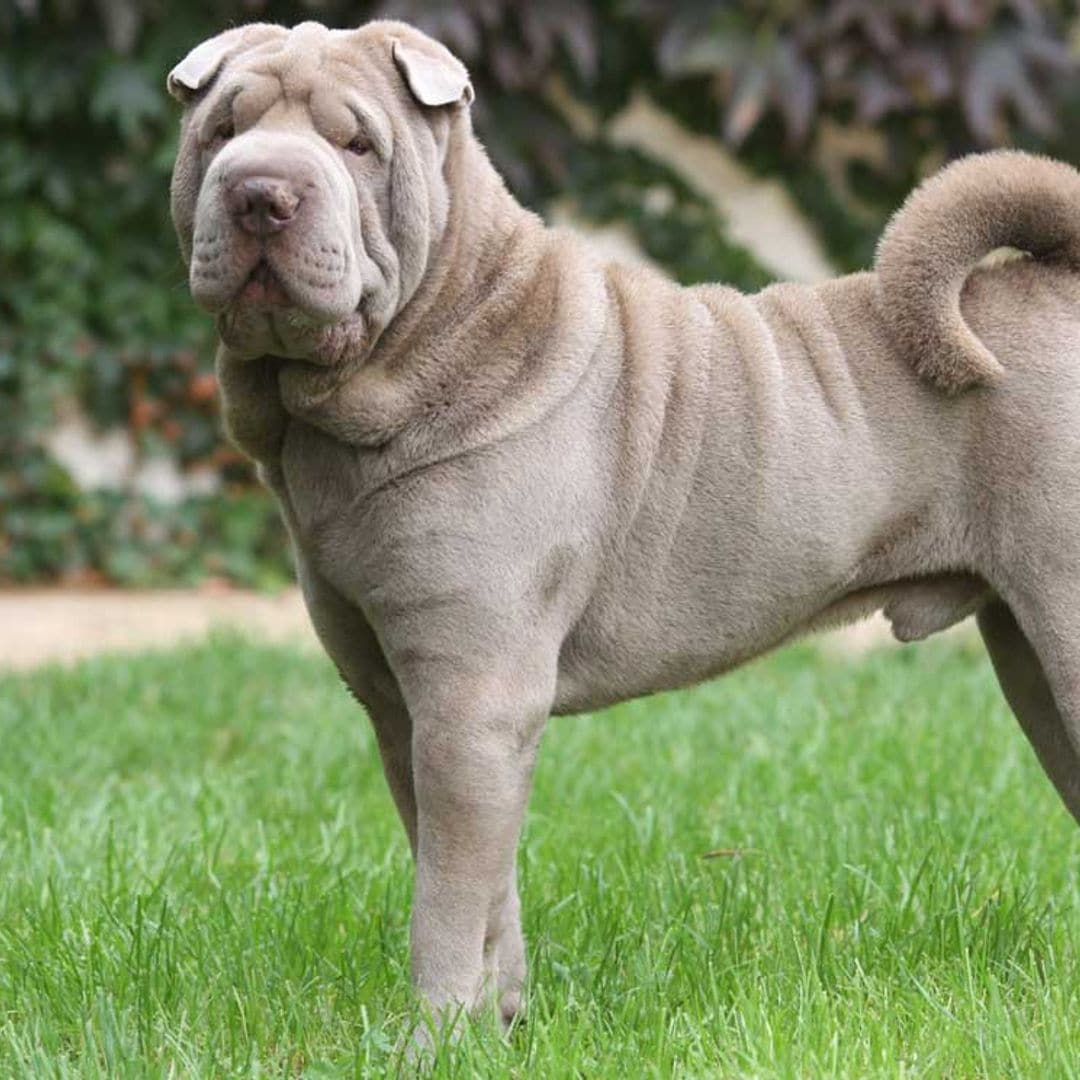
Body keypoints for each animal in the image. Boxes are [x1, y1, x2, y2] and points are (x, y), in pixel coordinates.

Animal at [168, 21, 1080, 1036]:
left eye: (357, 145)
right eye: (221, 130)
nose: (260, 193)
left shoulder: (470, 699)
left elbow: (444, 899)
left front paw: (431, 1037)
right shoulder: (408, 702)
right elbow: (481, 886)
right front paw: (497, 1026)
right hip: (1028, 657)